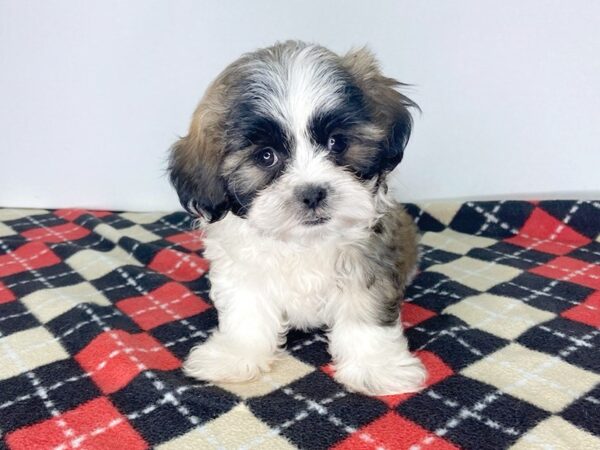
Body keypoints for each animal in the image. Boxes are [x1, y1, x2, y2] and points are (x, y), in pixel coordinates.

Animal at [169, 41, 426, 394]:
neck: (302, 242)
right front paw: (235, 354)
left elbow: (365, 309)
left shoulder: (367, 257)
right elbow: (245, 309)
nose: (312, 192)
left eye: (336, 142)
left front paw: (376, 366)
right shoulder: (241, 267)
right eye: (266, 156)